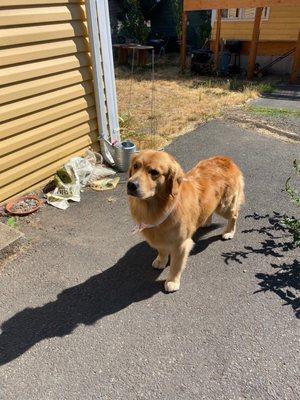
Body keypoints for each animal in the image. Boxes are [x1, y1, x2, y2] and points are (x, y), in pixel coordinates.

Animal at [126, 152, 244, 292]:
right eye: (135, 166)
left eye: (154, 172)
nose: (131, 184)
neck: (159, 207)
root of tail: (226, 159)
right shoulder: (161, 237)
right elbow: (162, 250)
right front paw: (161, 260)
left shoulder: (181, 244)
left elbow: (176, 265)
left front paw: (172, 281)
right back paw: (206, 221)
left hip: (225, 206)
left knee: (234, 215)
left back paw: (229, 232)